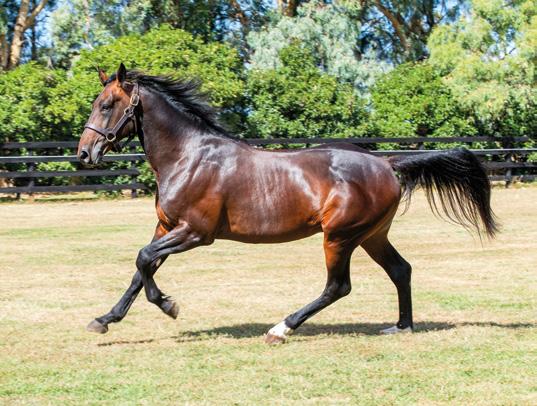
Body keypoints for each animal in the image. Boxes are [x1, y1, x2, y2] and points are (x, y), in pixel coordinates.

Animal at [77, 63, 497, 344]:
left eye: (106, 104)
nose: (84, 154)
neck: (189, 157)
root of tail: (386, 163)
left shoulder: (194, 232)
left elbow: (143, 259)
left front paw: (168, 305)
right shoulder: (166, 226)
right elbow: (141, 269)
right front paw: (105, 319)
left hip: (339, 237)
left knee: (338, 287)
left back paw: (281, 329)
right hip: (371, 235)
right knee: (400, 270)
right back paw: (400, 326)